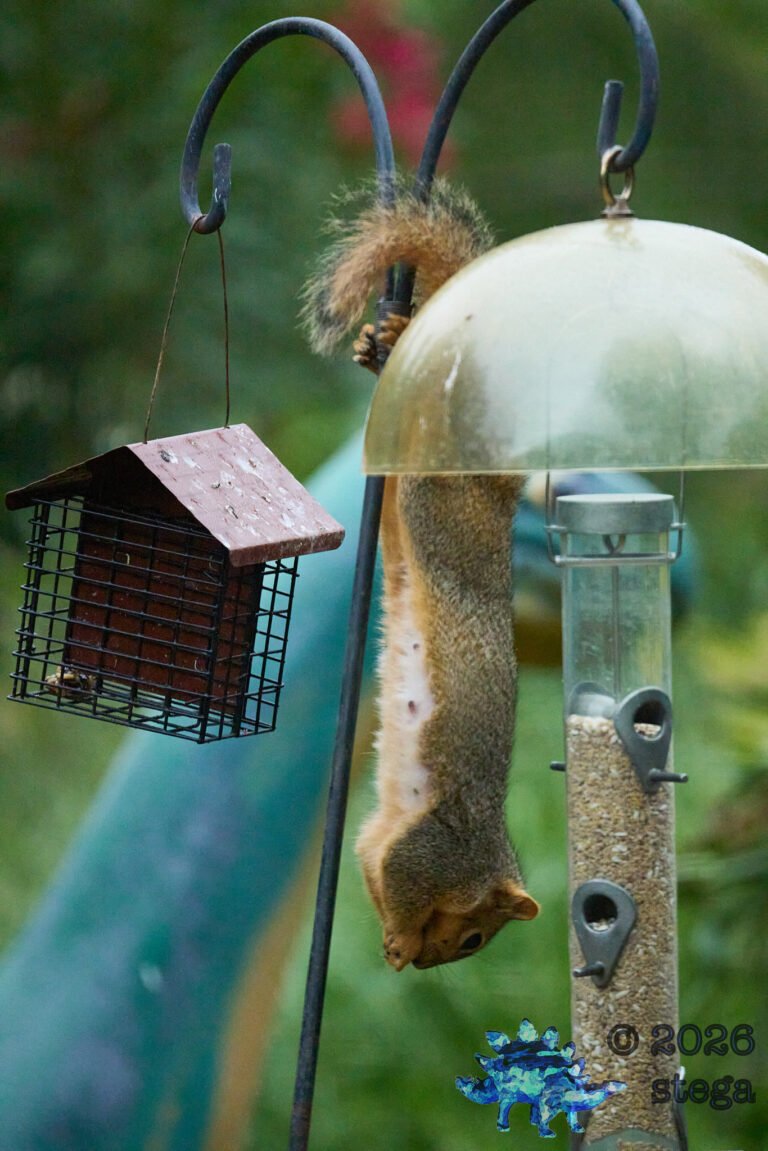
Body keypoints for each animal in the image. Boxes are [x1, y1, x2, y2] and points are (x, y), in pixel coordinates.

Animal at [302, 177, 540, 970]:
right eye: (473, 937)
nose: (432, 963)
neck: (486, 852)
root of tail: (498, 492)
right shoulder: (435, 850)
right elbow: (404, 880)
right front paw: (404, 940)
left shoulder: (383, 838)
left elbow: (373, 867)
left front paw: (391, 941)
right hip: (437, 504)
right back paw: (393, 348)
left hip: (406, 529)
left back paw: (384, 352)